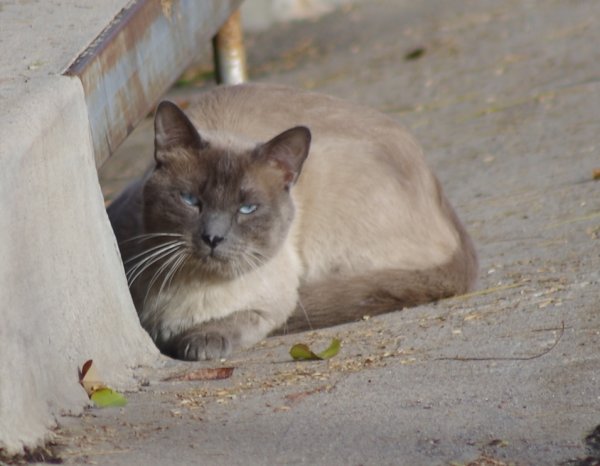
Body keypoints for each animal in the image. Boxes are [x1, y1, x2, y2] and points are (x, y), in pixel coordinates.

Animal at [105, 83, 476, 360]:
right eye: (190, 200)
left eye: (247, 208)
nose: (213, 238)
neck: (191, 286)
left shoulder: (268, 307)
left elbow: (235, 320)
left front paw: (197, 342)